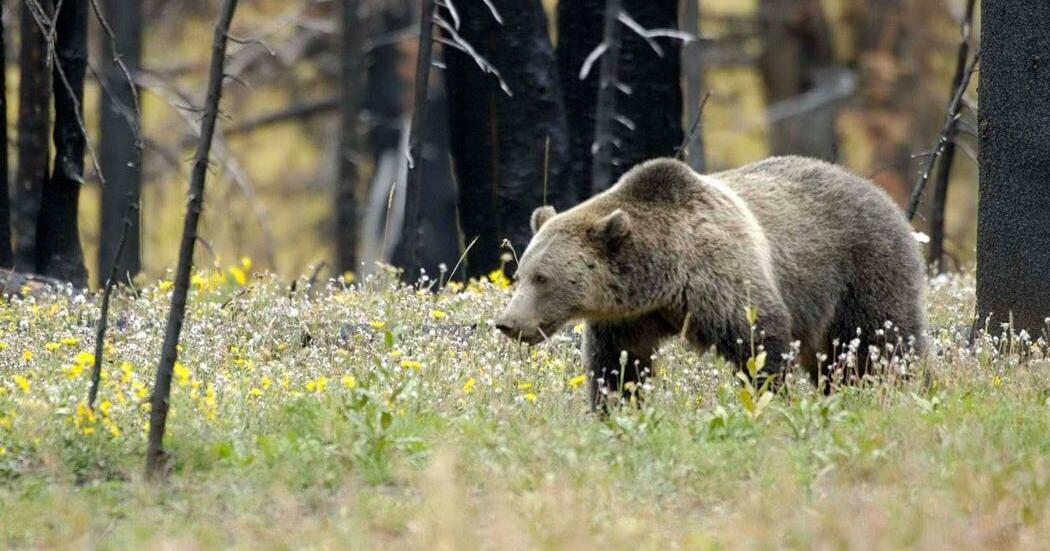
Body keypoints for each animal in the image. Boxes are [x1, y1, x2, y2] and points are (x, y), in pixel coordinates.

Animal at [495, 156, 927, 407]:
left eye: (542, 277)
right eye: (520, 274)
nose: (507, 323)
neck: (662, 277)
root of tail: (880, 192)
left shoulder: (720, 278)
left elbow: (759, 343)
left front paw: (772, 399)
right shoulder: (628, 318)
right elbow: (619, 365)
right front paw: (616, 408)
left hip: (863, 269)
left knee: (880, 343)